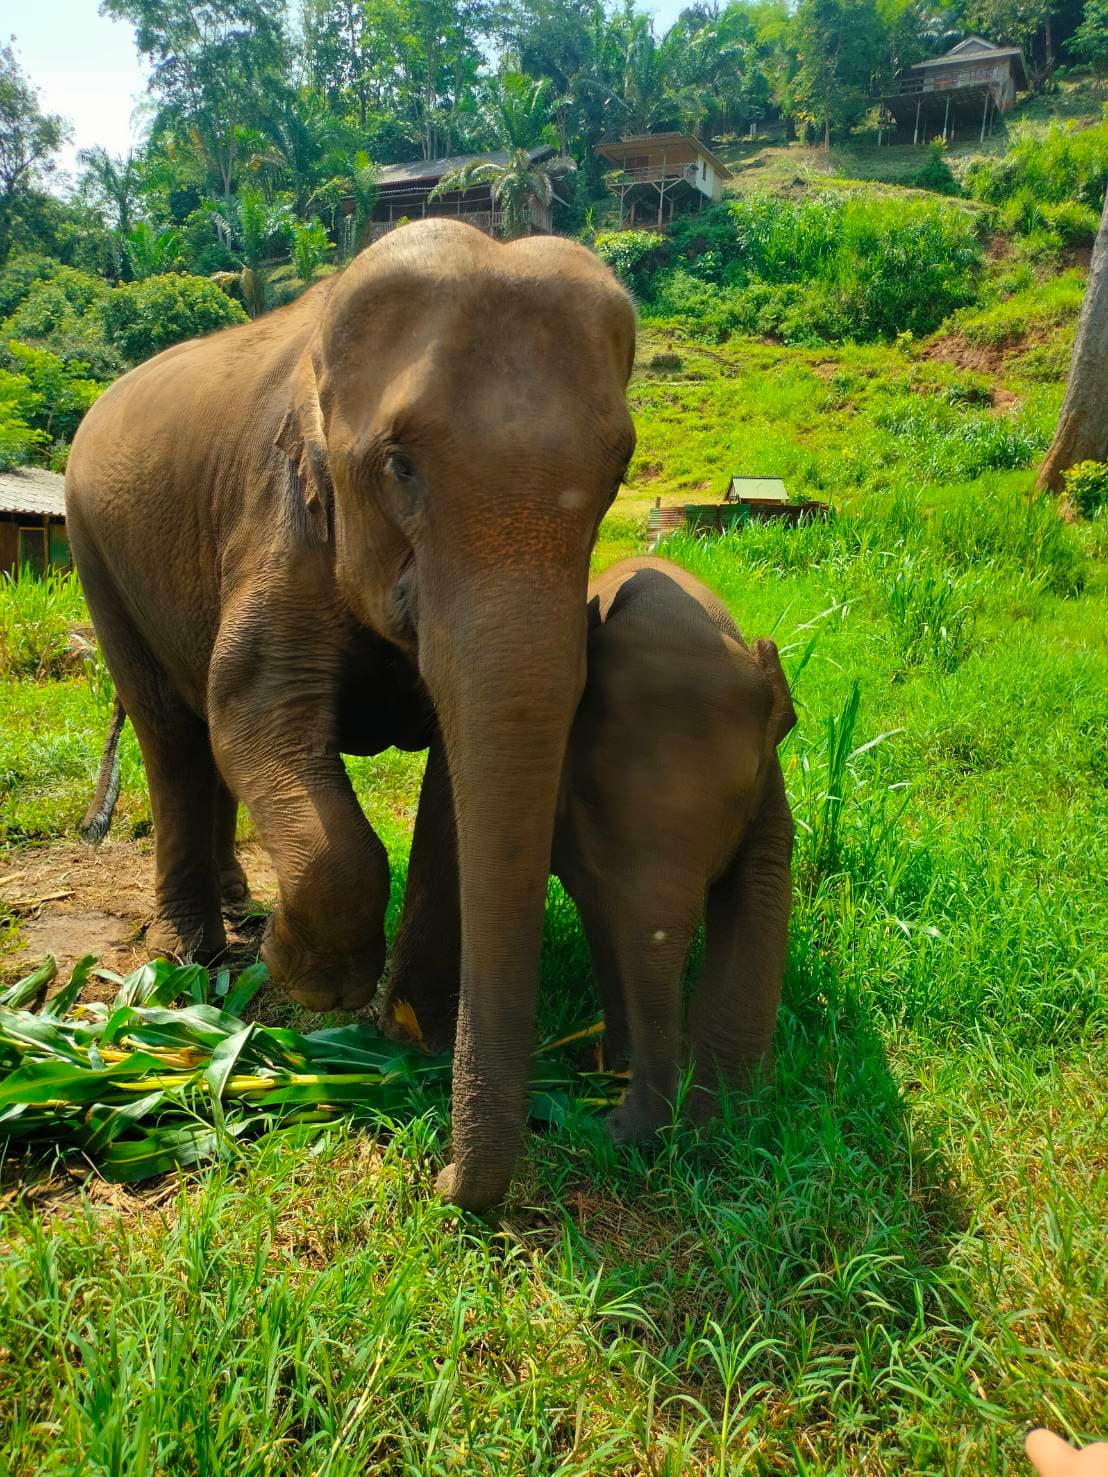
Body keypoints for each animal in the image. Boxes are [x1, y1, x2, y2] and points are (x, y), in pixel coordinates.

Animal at [65, 219, 637, 1212]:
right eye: (398, 465)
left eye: (618, 472)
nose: (444, 1177)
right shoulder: (280, 514)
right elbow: (252, 708)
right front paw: (311, 982)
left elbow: (456, 777)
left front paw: (407, 1035)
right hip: (95, 551)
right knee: (173, 730)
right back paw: (191, 956)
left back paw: (237, 900)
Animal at [380, 557, 797, 1141]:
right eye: (586, 798)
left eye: (733, 800)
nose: (612, 1124)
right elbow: (605, 918)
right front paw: (637, 1084)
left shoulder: (768, 797)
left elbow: (760, 892)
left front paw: (723, 1120)